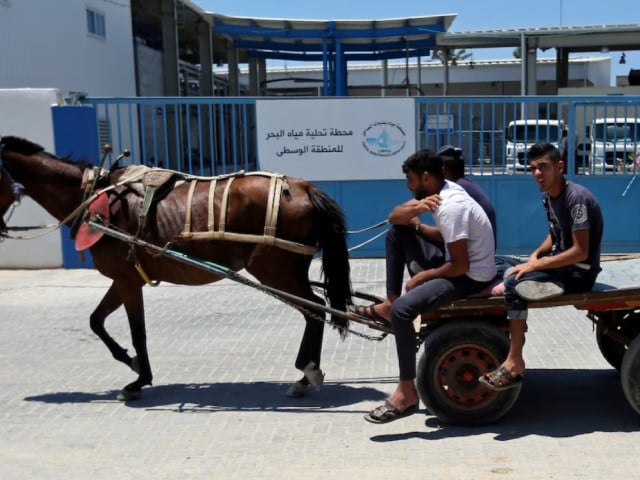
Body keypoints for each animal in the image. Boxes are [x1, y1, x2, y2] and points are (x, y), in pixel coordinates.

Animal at [0, 136, 352, 402]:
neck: (97, 201)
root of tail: (304, 188)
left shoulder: (127, 280)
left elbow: (136, 331)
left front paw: (138, 379)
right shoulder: (124, 279)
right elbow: (96, 321)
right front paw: (130, 362)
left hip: (275, 270)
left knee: (315, 308)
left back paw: (307, 371)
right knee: (315, 310)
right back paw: (305, 375)